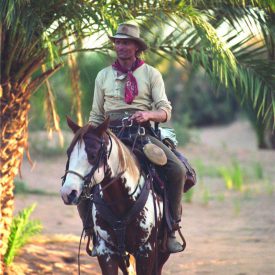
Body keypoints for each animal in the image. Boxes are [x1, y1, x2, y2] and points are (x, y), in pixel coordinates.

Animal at [60, 118, 170, 275]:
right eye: (69, 153)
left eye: (92, 155)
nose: (68, 193)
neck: (120, 203)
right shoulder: (106, 251)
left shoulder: (147, 251)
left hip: (160, 254)